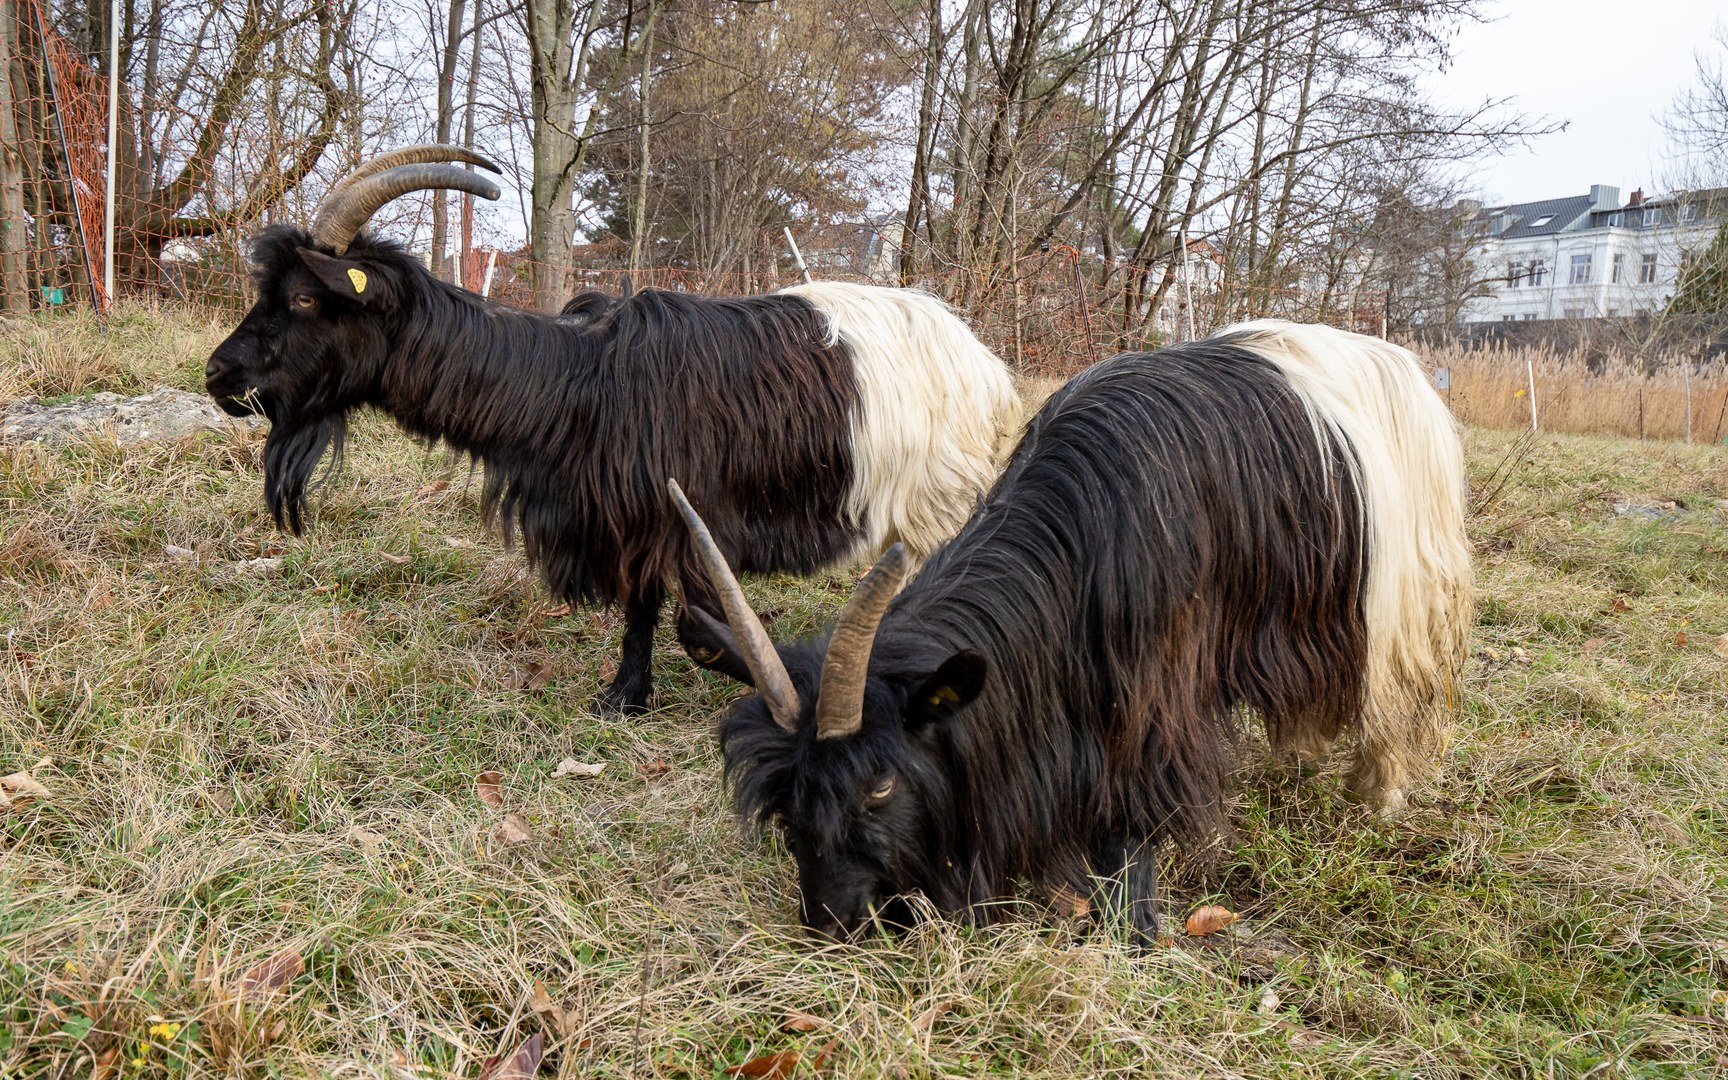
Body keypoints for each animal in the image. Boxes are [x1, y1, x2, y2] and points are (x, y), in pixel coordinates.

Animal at [209, 145, 1029, 715]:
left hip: (935, 503)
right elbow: (641, 611)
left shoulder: (695, 522)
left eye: (307, 299)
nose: (219, 375)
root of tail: (987, 365)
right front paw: (625, 698)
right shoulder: (636, 520)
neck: (577, 385)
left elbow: (696, 626)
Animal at [670, 321, 1472, 940]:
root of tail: (1396, 359)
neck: (1084, 542)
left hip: (1402, 599)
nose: (831, 923)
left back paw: (1379, 794)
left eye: (880, 786)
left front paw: (1134, 925)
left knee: (1393, 698)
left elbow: (1134, 818)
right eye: (786, 799)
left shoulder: (1155, 695)